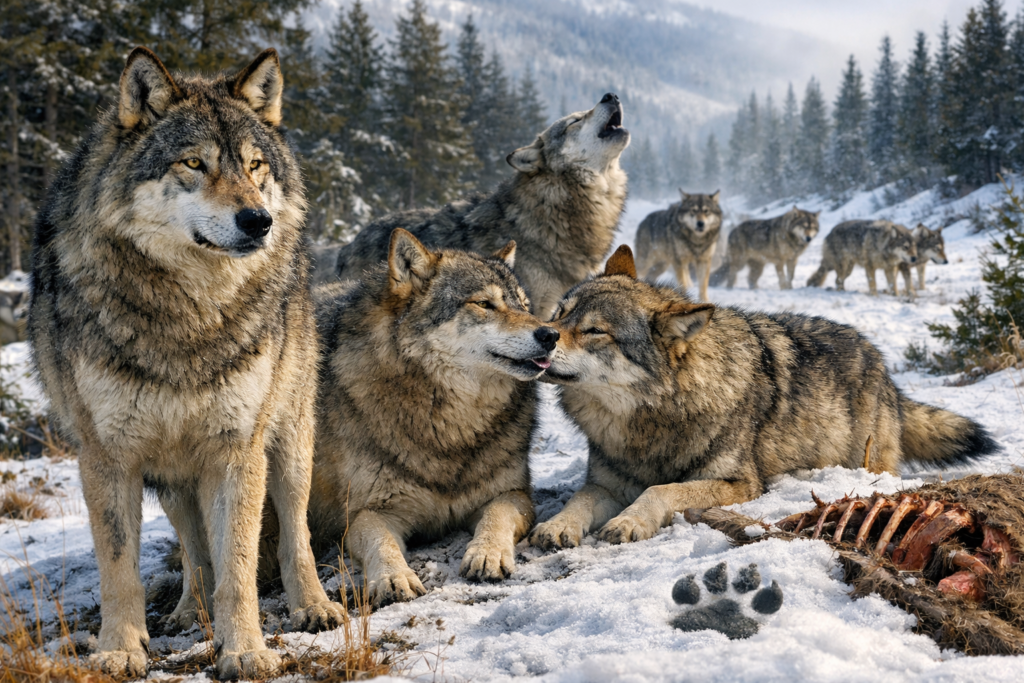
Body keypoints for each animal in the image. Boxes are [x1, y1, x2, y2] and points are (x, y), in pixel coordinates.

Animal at [27, 48, 343, 679]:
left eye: (254, 166)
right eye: (194, 163)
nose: (258, 221)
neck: (189, 316)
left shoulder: (236, 450)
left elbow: (239, 567)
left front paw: (245, 650)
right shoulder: (108, 457)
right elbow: (119, 569)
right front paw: (120, 649)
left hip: (288, 442)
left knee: (294, 530)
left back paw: (313, 605)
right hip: (172, 477)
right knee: (195, 550)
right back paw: (183, 614)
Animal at [309, 229, 557, 605]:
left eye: (524, 306)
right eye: (484, 304)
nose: (551, 334)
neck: (449, 427)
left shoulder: (512, 494)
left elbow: (496, 517)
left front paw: (486, 554)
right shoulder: (368, 512)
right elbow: (380, 542)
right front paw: (394, 578)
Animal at [529, 245, 996, 550]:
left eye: (594, 330)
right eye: (560, 314)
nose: (544, 334)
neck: (649, 419)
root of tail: (885, 370)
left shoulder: (741, 485)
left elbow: (661, 490)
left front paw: (629, 522)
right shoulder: (604, 483)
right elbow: (578, 500)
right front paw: (557, 526)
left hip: (867, 460)